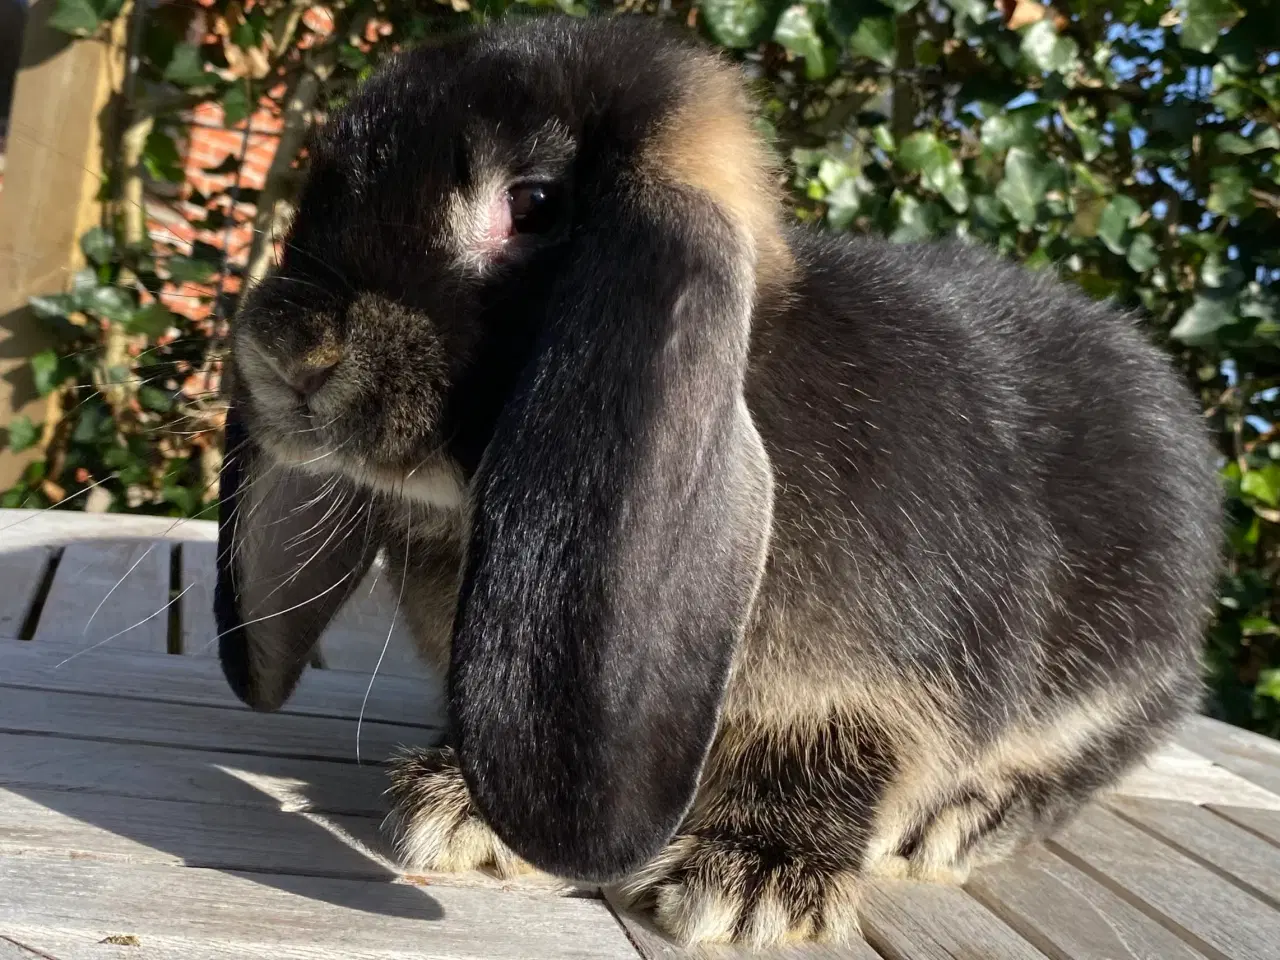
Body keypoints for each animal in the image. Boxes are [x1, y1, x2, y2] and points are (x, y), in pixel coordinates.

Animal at [215, 11, 1223, 952]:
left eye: (533, 204)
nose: (288, 351)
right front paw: (457, 805)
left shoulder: (872, 690)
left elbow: (833, 754)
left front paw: (749, 882)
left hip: (1121, 676)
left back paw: (950, 826)